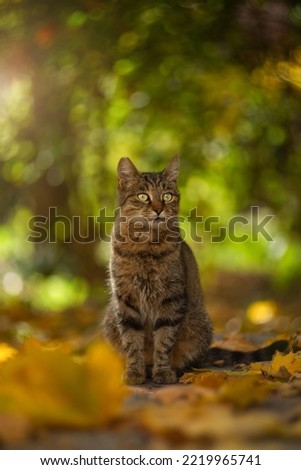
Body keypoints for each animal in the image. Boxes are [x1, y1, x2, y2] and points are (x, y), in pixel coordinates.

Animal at [103, 156, 288, 384]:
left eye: (167, 195)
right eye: (143, 196)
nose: (158, 209)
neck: (146, 245)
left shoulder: (171, 299)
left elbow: (164, 341)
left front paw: (162, 371)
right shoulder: (126, 299)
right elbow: (131, 342)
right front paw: (135, 371)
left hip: (199, 325)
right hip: (110, 319)